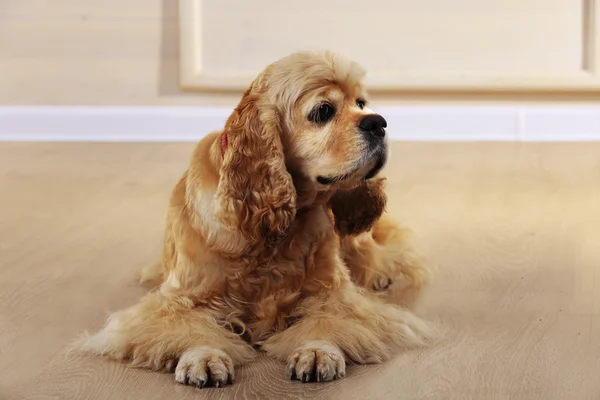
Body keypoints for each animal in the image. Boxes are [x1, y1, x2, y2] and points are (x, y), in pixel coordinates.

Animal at [81, 50, 436, 388]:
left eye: (361, 103)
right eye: (323, 111)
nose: (378, 122)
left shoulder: (332, 294)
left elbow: (329, 320)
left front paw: (317, 350)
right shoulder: (180, 300)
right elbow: (191, 328)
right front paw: (204, 356)